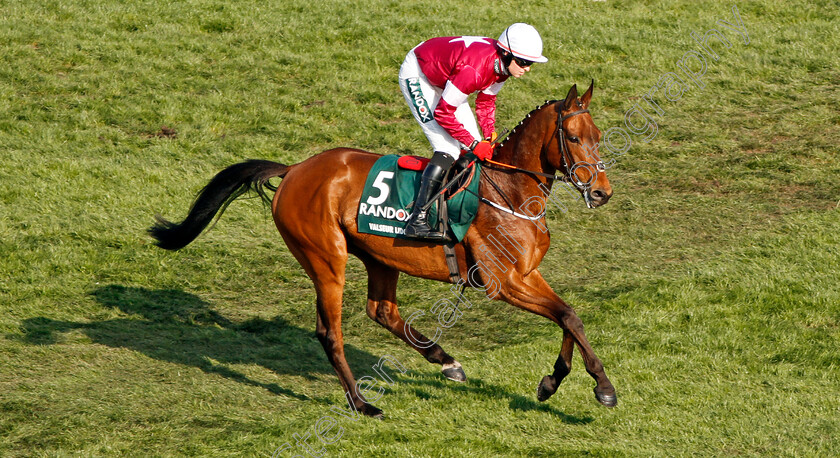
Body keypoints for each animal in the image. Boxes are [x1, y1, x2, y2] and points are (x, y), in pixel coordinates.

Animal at [149, 80, 616, 416]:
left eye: (597, 135)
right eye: (573, 138)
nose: (602, 192)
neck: (509, 191)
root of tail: (295, 169)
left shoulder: (527, 274)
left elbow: (569, 316)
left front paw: (553, 382)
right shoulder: (504, 282)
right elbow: (568, 316)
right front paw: (602, 387)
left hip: (380, 258)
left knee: (382, 311)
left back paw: (446, 362)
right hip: (326, 259)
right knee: (331, 332)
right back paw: (361, 403)